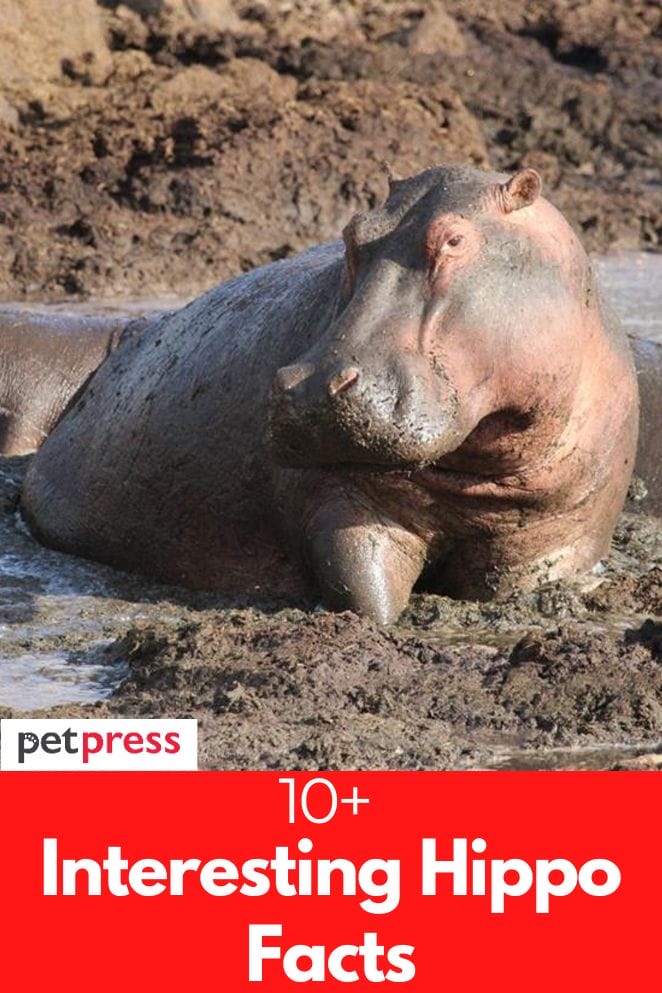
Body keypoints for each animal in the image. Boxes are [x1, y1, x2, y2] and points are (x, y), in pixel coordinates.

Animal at [14, 165, 649, 623]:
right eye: (351, 234)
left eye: (453, 239)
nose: (314, 386)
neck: (479, 466)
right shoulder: (342, 505)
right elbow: (366, 596)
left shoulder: (556, 538)